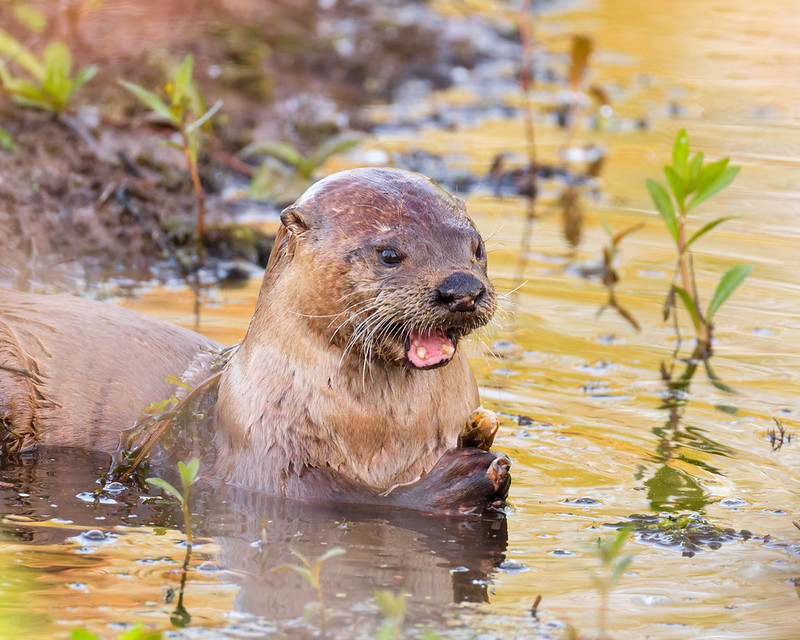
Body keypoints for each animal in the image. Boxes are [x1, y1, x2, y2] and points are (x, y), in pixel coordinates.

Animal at [0, 168, 510, 514]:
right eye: (389, 254)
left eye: (477, 247)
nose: (462, 287)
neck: (382, 432)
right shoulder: (259, 440)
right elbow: (336, 498)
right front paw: (456, 481)